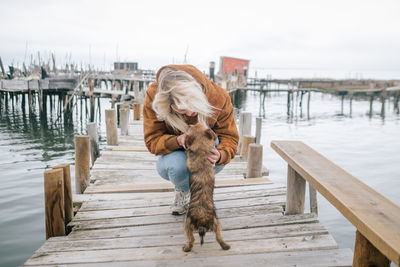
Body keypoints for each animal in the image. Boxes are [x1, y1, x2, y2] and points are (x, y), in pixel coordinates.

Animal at [182, 123, 230, 253]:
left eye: (191, 127)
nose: (189, 124)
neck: (202, 151)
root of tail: (202, 219)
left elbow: (187, 153)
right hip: (216, 223)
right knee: (219, 237)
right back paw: (226, 246)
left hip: (187, 224)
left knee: (191, 239)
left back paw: (186, 248)